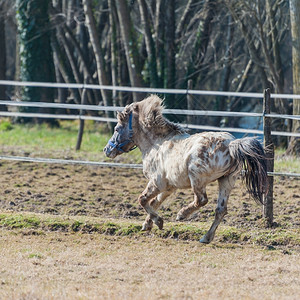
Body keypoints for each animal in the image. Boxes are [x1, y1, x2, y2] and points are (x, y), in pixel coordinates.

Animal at [103, 95, 268, 244]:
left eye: (117, 128)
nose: (107, 150)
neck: (156, 144)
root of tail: (231, 144)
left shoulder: (156, 183)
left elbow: (143, 200)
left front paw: (158, 221)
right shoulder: (168, 187)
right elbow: (154, 202)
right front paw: (148, 224)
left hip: (197, 179)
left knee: (201, 200)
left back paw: (182, 214)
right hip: (226, 180)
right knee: (220, 210)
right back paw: (206, 238)